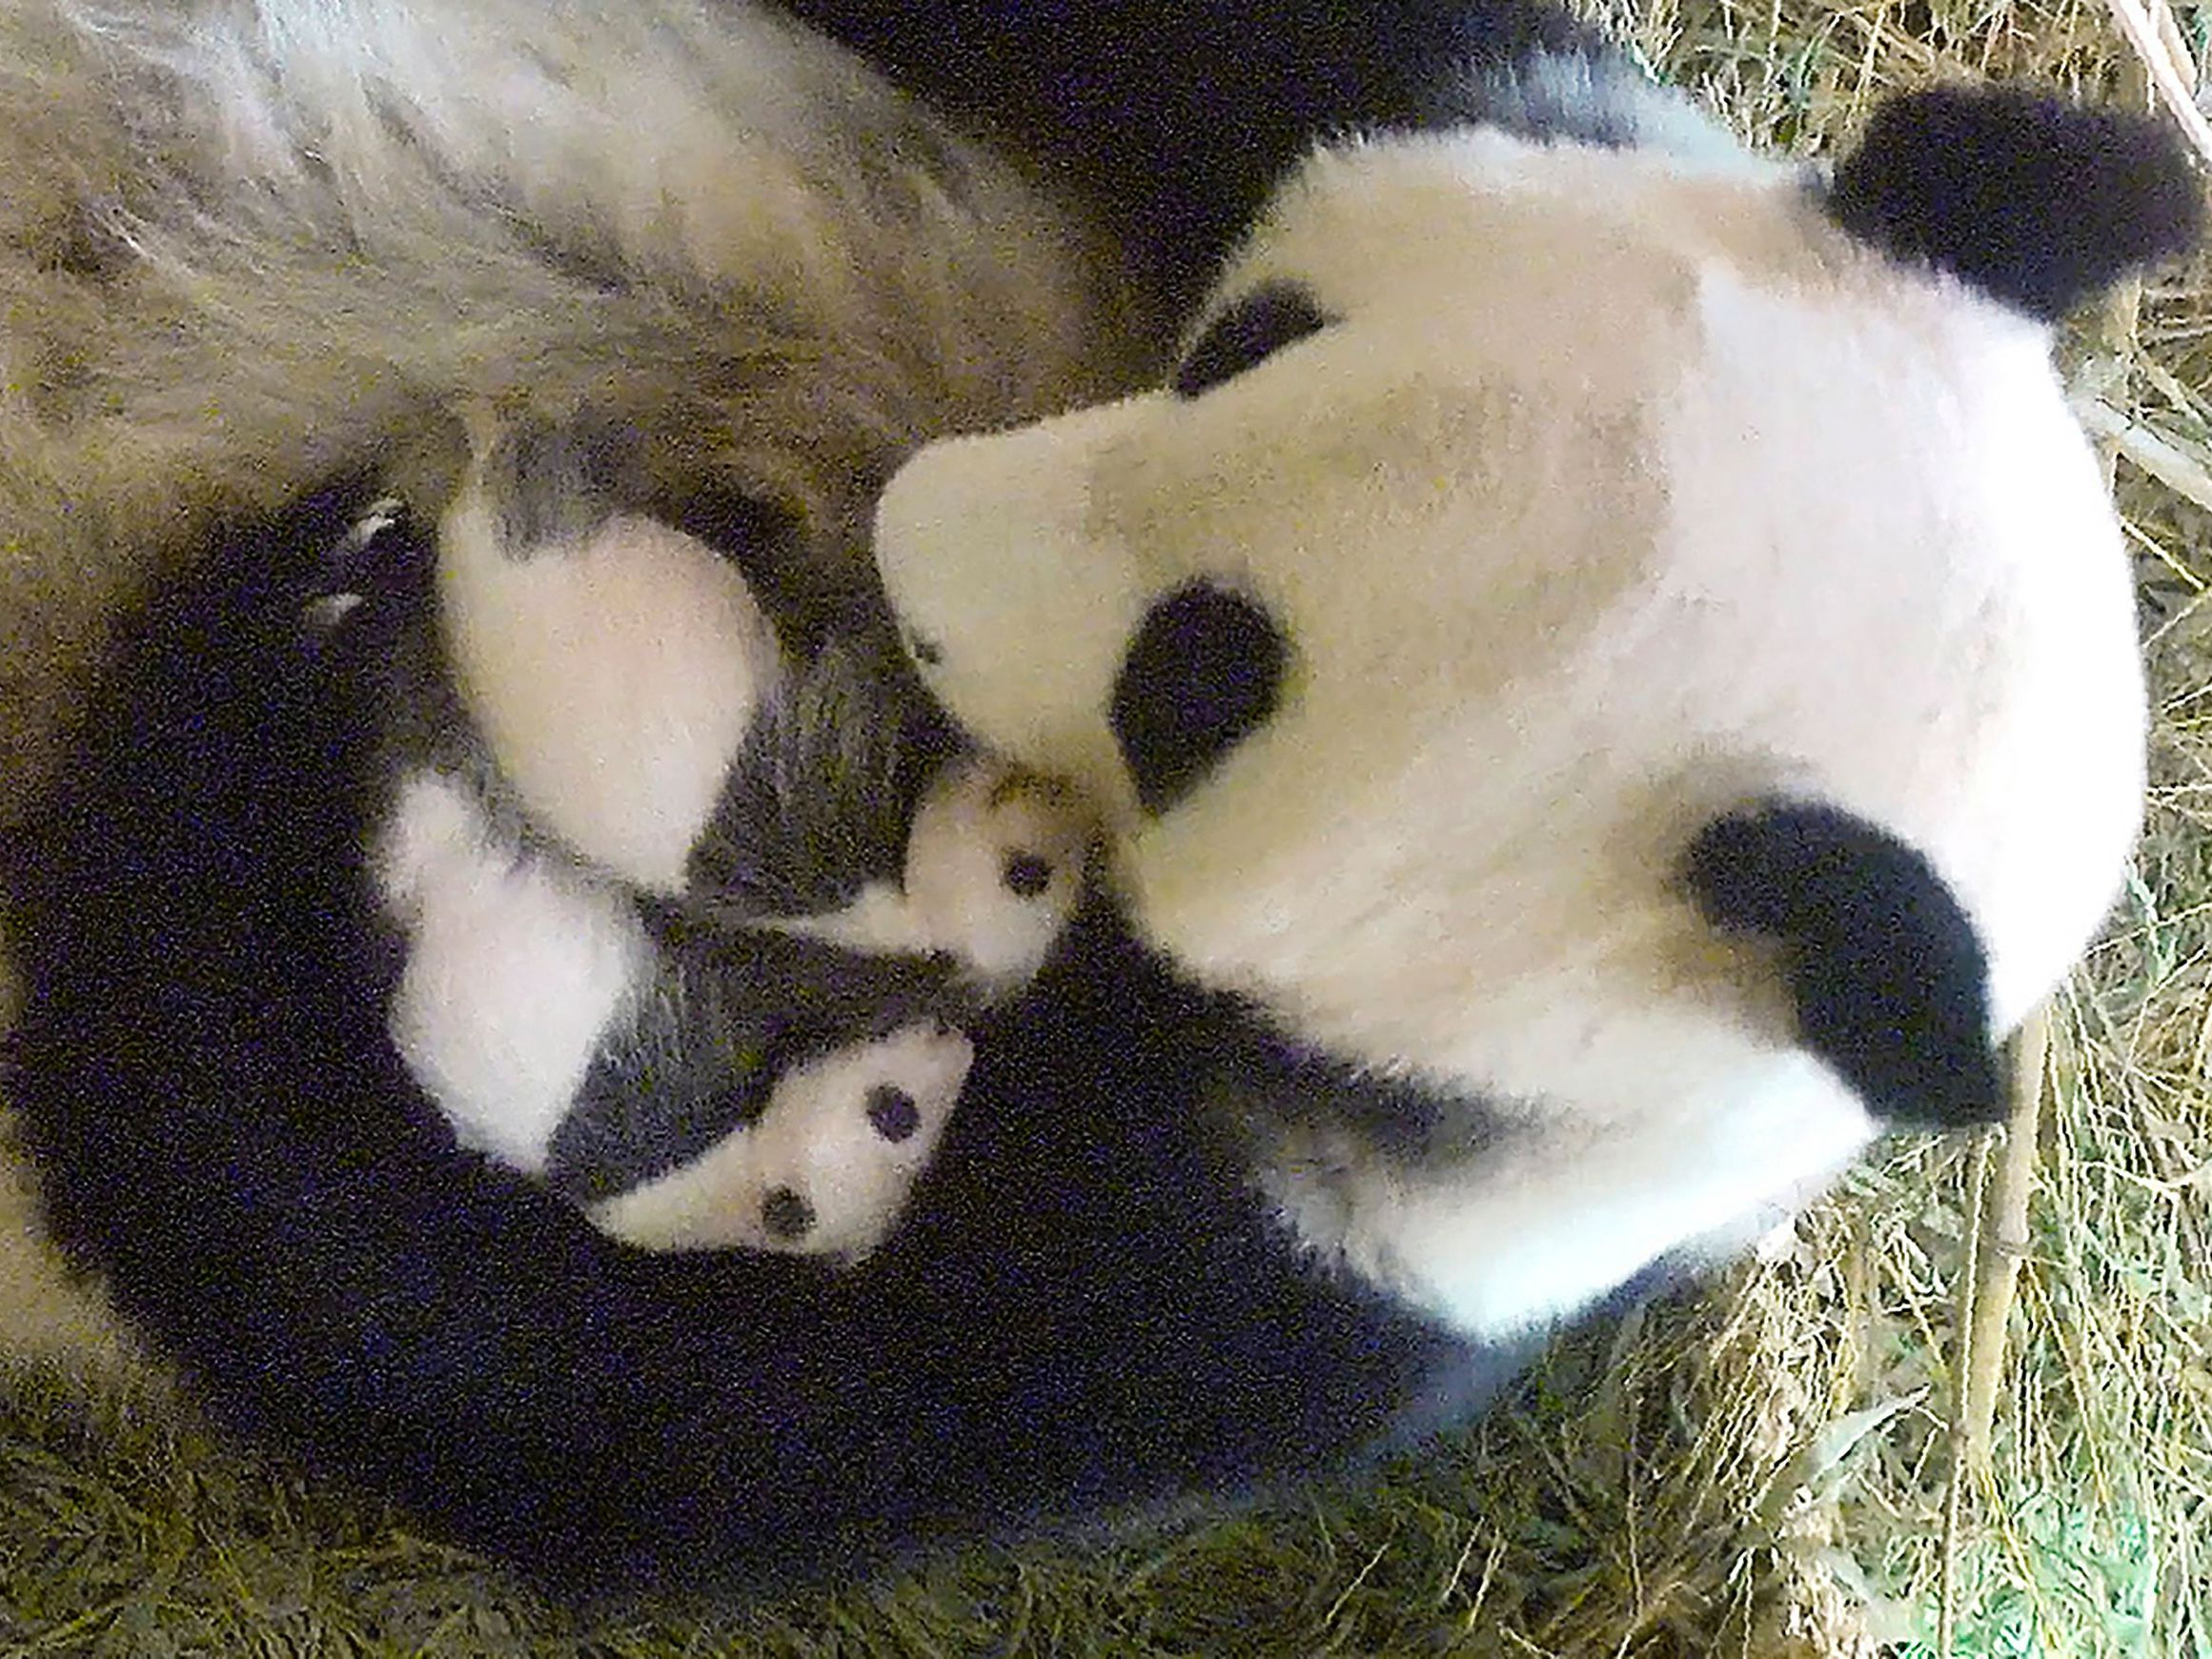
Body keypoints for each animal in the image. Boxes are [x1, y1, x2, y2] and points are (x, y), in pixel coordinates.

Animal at [9, 0, 2202, 1619]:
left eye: (1190, 685)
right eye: (1243, 342)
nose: (908, 543)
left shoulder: (1318, 1288)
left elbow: (639, 1394)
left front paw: (229, 691)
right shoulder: (1416, 85)